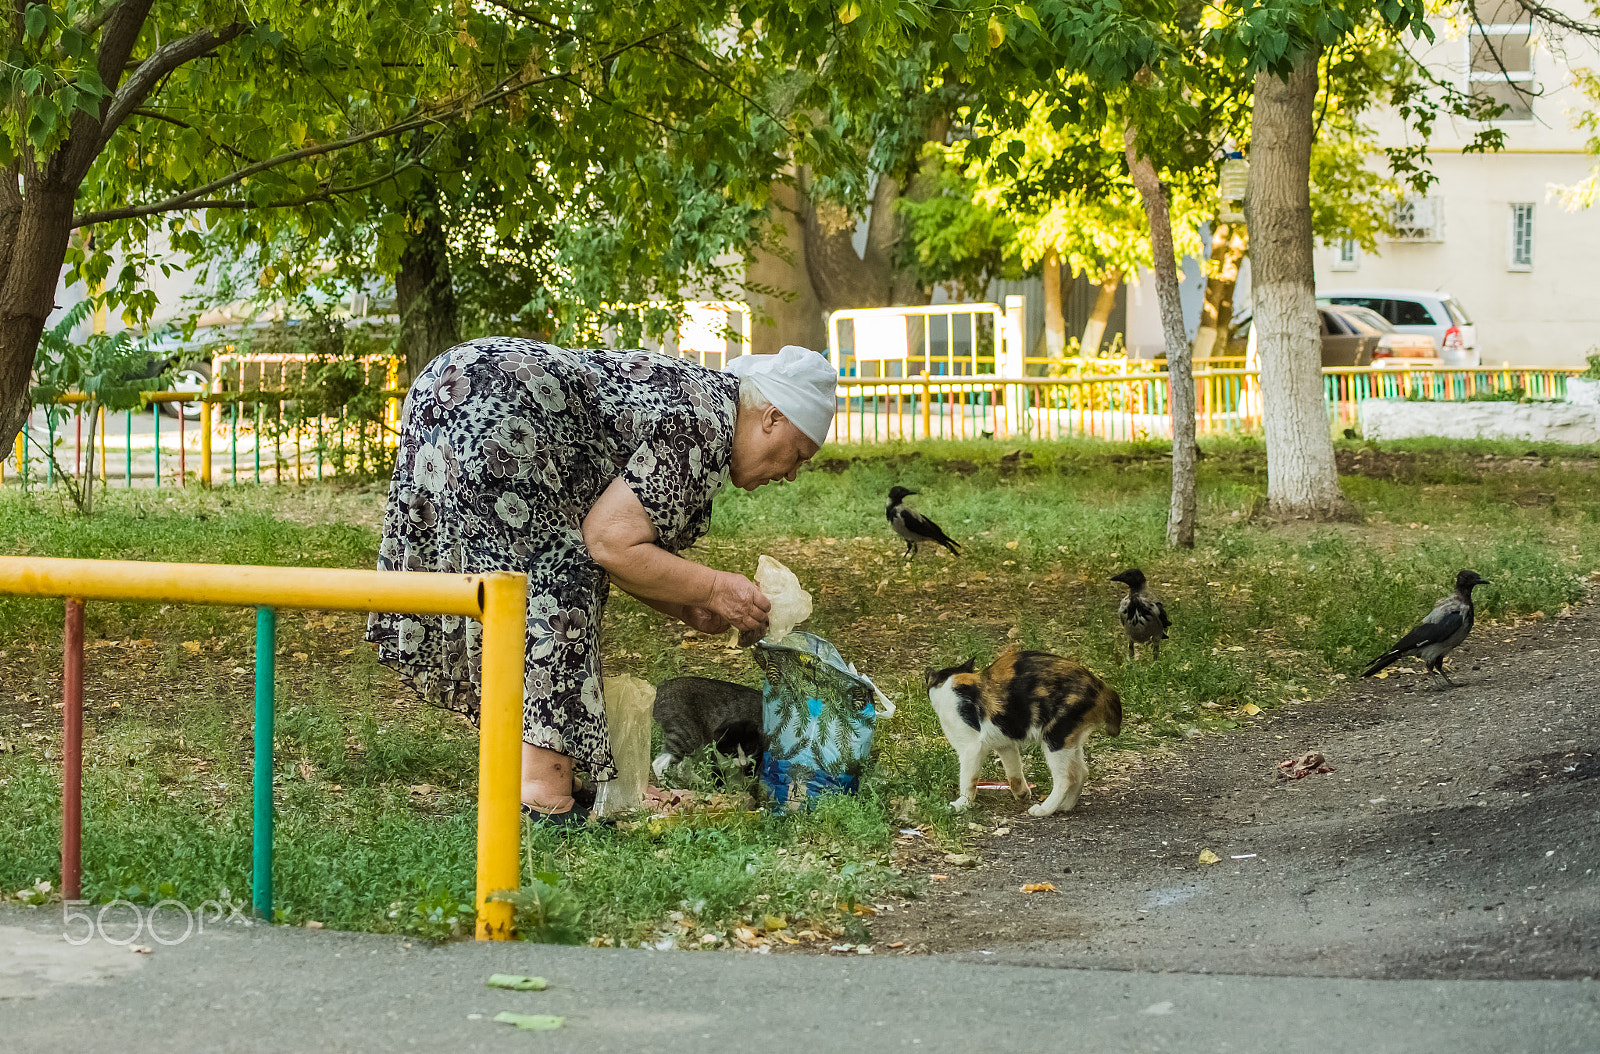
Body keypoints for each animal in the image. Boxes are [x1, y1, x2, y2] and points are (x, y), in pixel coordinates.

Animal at [928, 652, 1126, 815]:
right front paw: (1022, 793)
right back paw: (1064, 806)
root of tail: (1099, 685)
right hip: (1069, 740)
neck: (950, 683)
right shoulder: (1005, 744)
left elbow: (968, 779)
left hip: (1054, 737)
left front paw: (962, 804)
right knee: (1081, 773)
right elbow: (1014, 772)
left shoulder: (971, 748)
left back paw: (1045, 809)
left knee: (1066, 778)